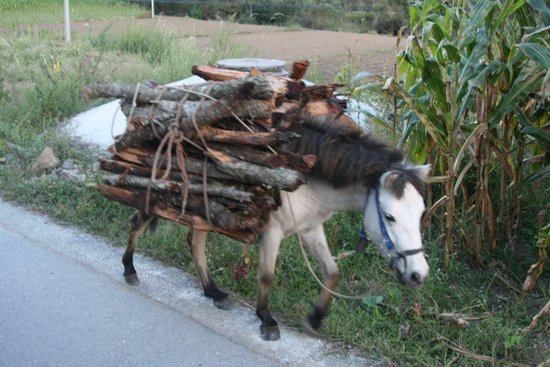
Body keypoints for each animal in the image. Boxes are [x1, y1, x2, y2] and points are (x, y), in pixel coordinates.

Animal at [123, 116, 434, 340]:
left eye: (420, 213)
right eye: (390, 217)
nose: (418, 275)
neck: (309, 178)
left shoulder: (311, 228)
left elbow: (332, 272)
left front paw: (315, 318)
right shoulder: (272, 231)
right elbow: (267, 276)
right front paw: (266, 320)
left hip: (206, 207)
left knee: (195, 242)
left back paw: (214, 292)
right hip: (166, 196)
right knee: (138, 224)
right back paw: (129, 269)